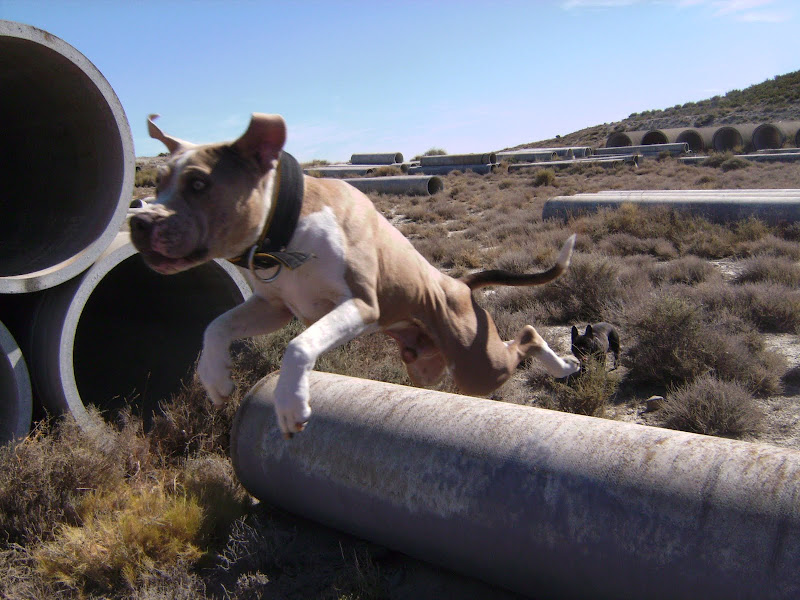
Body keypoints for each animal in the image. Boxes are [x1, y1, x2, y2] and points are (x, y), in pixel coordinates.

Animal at [128, 115, 580, 438]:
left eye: (198, 183)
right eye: (159, 182)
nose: (139, 220)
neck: (285, 230)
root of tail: (460, 285)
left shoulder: (359, 305)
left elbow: (297, 346)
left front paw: (291, 403)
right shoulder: (272, 307)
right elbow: (215, 326)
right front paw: (215, 376)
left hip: (476, 366)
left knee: (527, 335)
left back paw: (562, 366)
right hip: (428, 367)